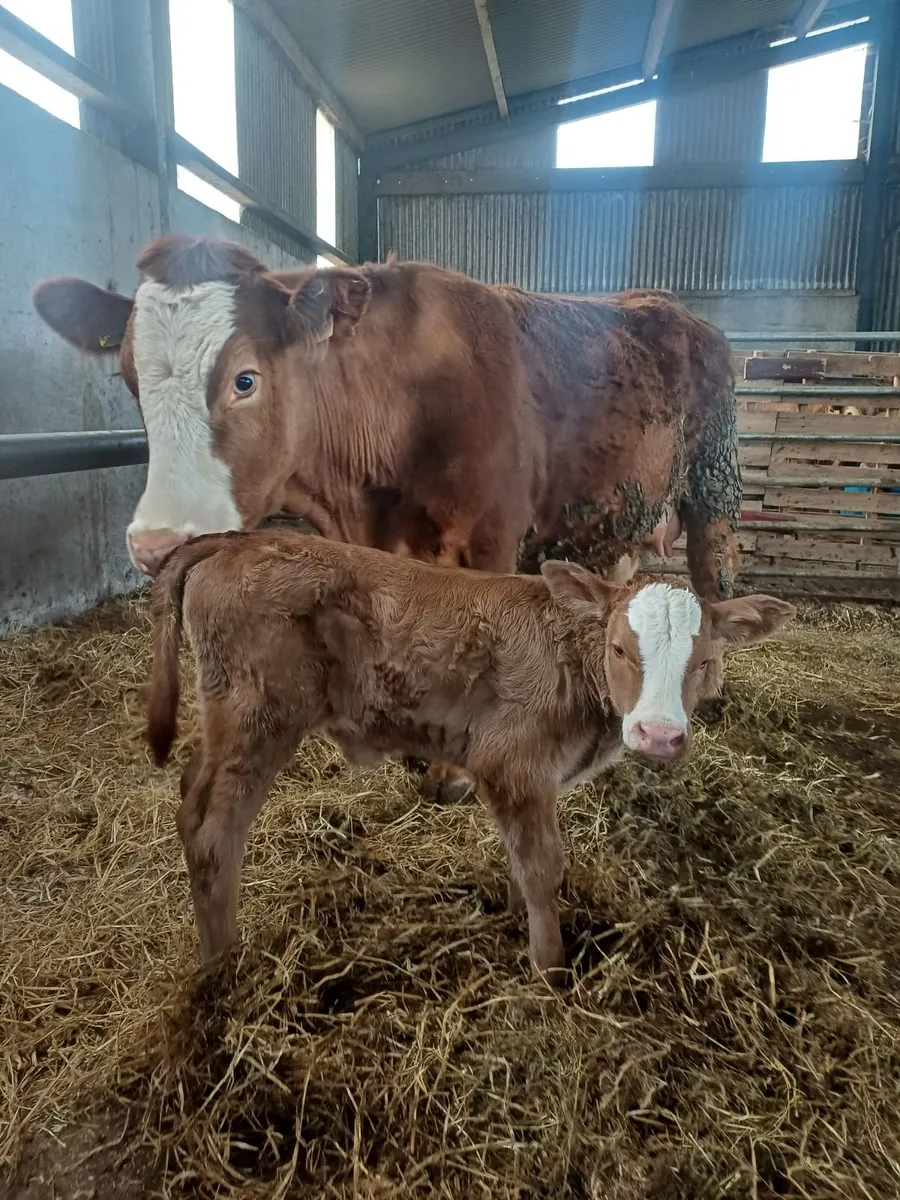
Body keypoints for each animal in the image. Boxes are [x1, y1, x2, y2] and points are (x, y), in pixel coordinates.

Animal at [33, 235, 741, 801]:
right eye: (130, 379)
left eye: (245, 379)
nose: (155, 545)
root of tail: (673, 307)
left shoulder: (491, 540)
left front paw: (452, 775)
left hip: (714, 484)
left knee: (714, 576)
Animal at [146, 529, 794, 984]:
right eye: (618, 649)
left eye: (705, 661)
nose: (658, 734)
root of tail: (239, 538)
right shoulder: (511, 762)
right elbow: (543, 866)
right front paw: (551, 968)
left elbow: (520, 859)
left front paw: (512, 917)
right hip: (260, 715)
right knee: (213, 828)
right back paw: (222, 965)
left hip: (228, 715)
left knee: (189, 792)